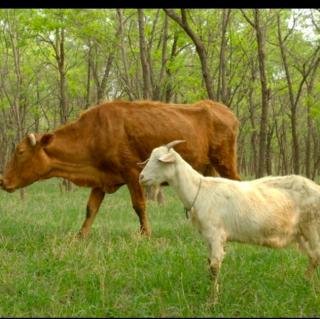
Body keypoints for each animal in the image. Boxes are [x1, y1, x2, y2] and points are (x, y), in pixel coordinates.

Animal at [0, 99, 240, 238]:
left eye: (20, 151)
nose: (3, 181)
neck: (94, 133)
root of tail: (226, 111)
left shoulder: (133, 174)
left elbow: (139, 206)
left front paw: (145, 234)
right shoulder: (100, 180)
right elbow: (91, 209)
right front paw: (80, 236)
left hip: (225, 161)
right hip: (208, 167)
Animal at [139, 141, 320, 298]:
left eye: (159, 160)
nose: (141, 177)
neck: (200, 191)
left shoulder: (216, 234)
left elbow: (214, 266)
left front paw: (212, 299)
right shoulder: (209, 237)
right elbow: (209, 264)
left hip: (312, 226)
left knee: (316, 254)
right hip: (301, 232)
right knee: (312, 256)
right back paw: (305, 282)